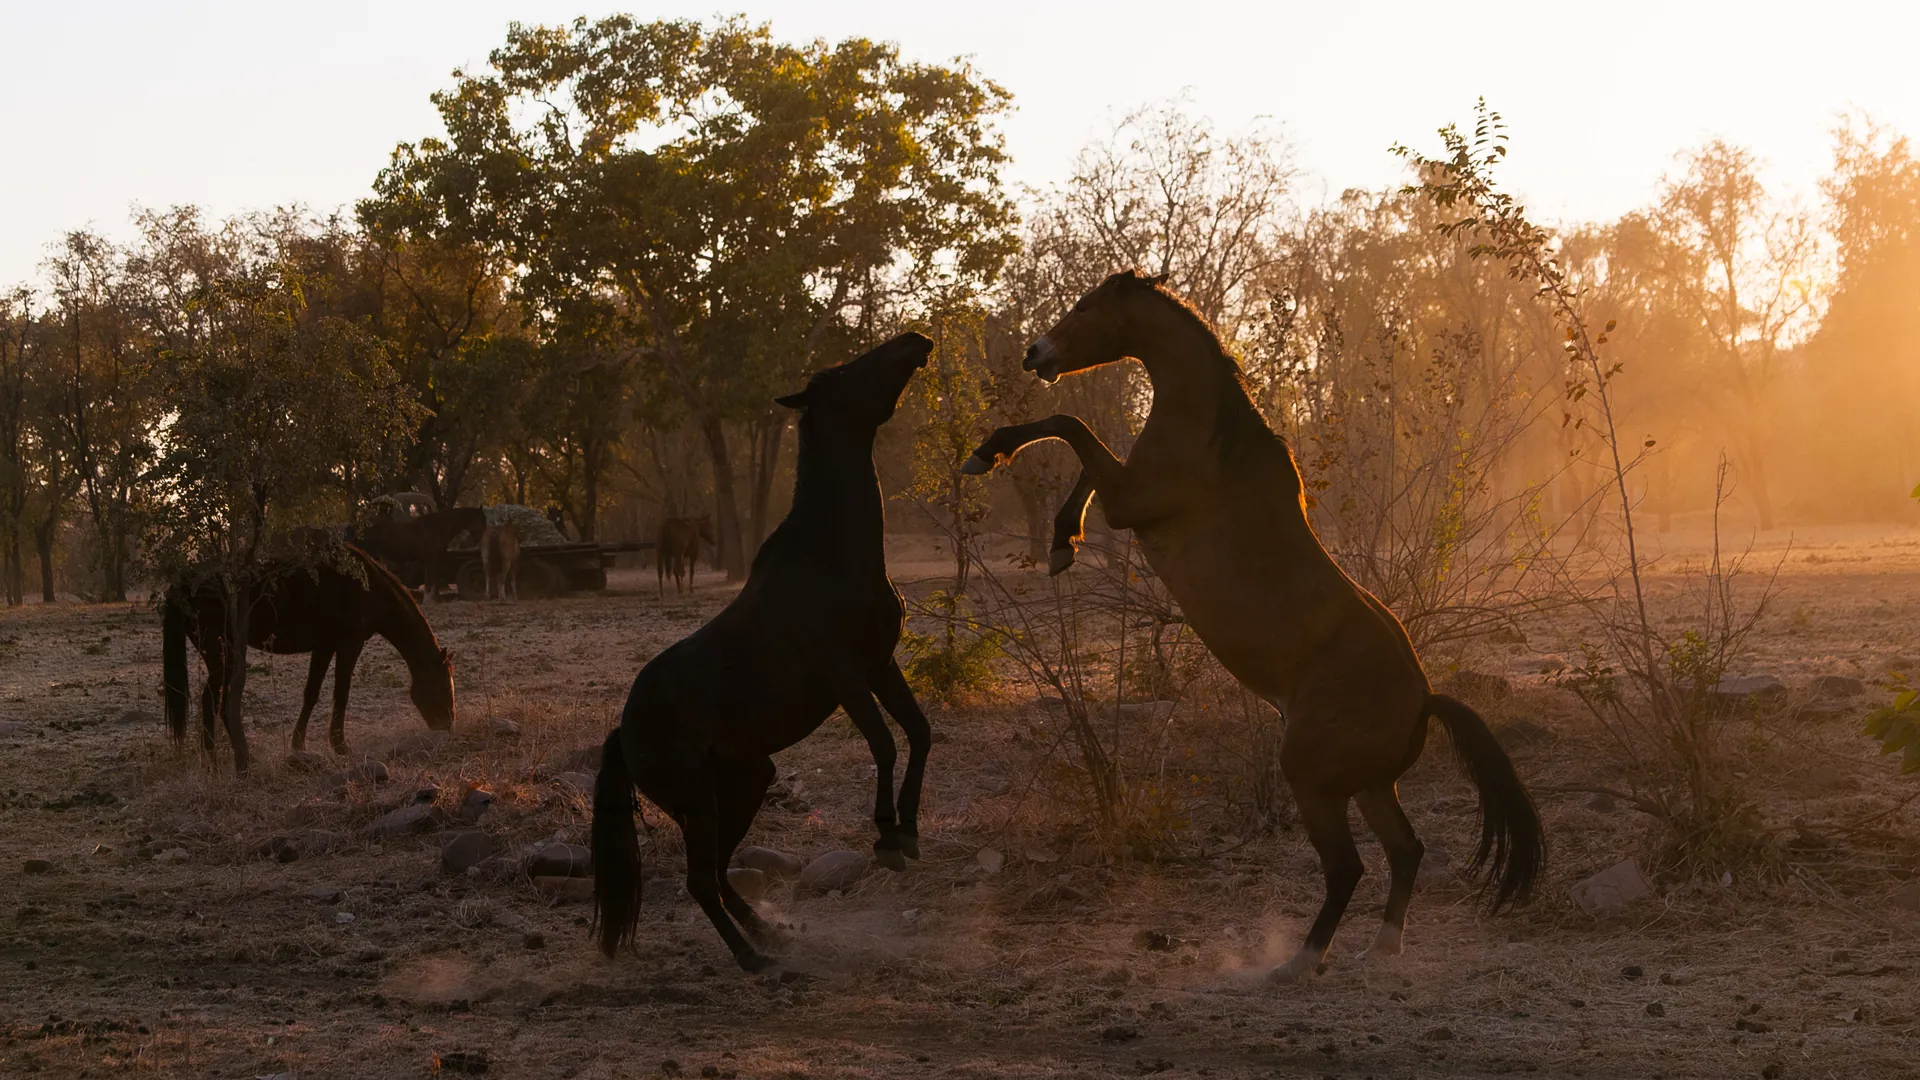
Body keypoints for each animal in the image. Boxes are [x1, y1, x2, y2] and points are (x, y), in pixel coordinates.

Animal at [162, 540, 455, 773]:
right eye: (443, 687)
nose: (448, 728)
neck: (366, 585)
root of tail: (185, 580)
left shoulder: (324, 646)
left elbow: (311, 693)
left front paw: (298, 744)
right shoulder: (349, 645)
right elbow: (341, 693)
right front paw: (340, 746)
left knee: (222, 704)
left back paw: (239, 758)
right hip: (220, 654)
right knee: (210, 700)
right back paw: (213, 763)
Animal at [355, 505, 488, 602]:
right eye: (482, 520)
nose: (482, 539)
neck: (437, 528)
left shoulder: (435, 560)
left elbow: (433, 580)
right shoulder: (430, 559)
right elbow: (429, 581)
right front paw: (428, 601)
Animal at [593, 332, 936, 972]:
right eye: (842, 373)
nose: (915, 339)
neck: (832, 557)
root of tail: (624, 732)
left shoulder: (880, 666)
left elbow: (919, 734)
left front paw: (909, 832)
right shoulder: (846, 676)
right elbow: (882, 743)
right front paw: (885, 838)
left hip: (746, 782)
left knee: (721, 874)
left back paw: (766, 935)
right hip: (699, 805)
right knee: (701, 882)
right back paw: (752, 959)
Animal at [962, 270, 1544, 982]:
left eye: (1085, 307)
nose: (1034, 353)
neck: (1211, 439)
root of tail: (1425, 698)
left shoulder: (1130, 500)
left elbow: (1068, 426)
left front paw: (1000, 469)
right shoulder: (1123, 493)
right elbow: (1074, 449)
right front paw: (1059, 544)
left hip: (1314, 779)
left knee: (1347, 867)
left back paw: (1299, 962)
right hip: (1369, 785)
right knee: (1406, 850)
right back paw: (1381, 946)